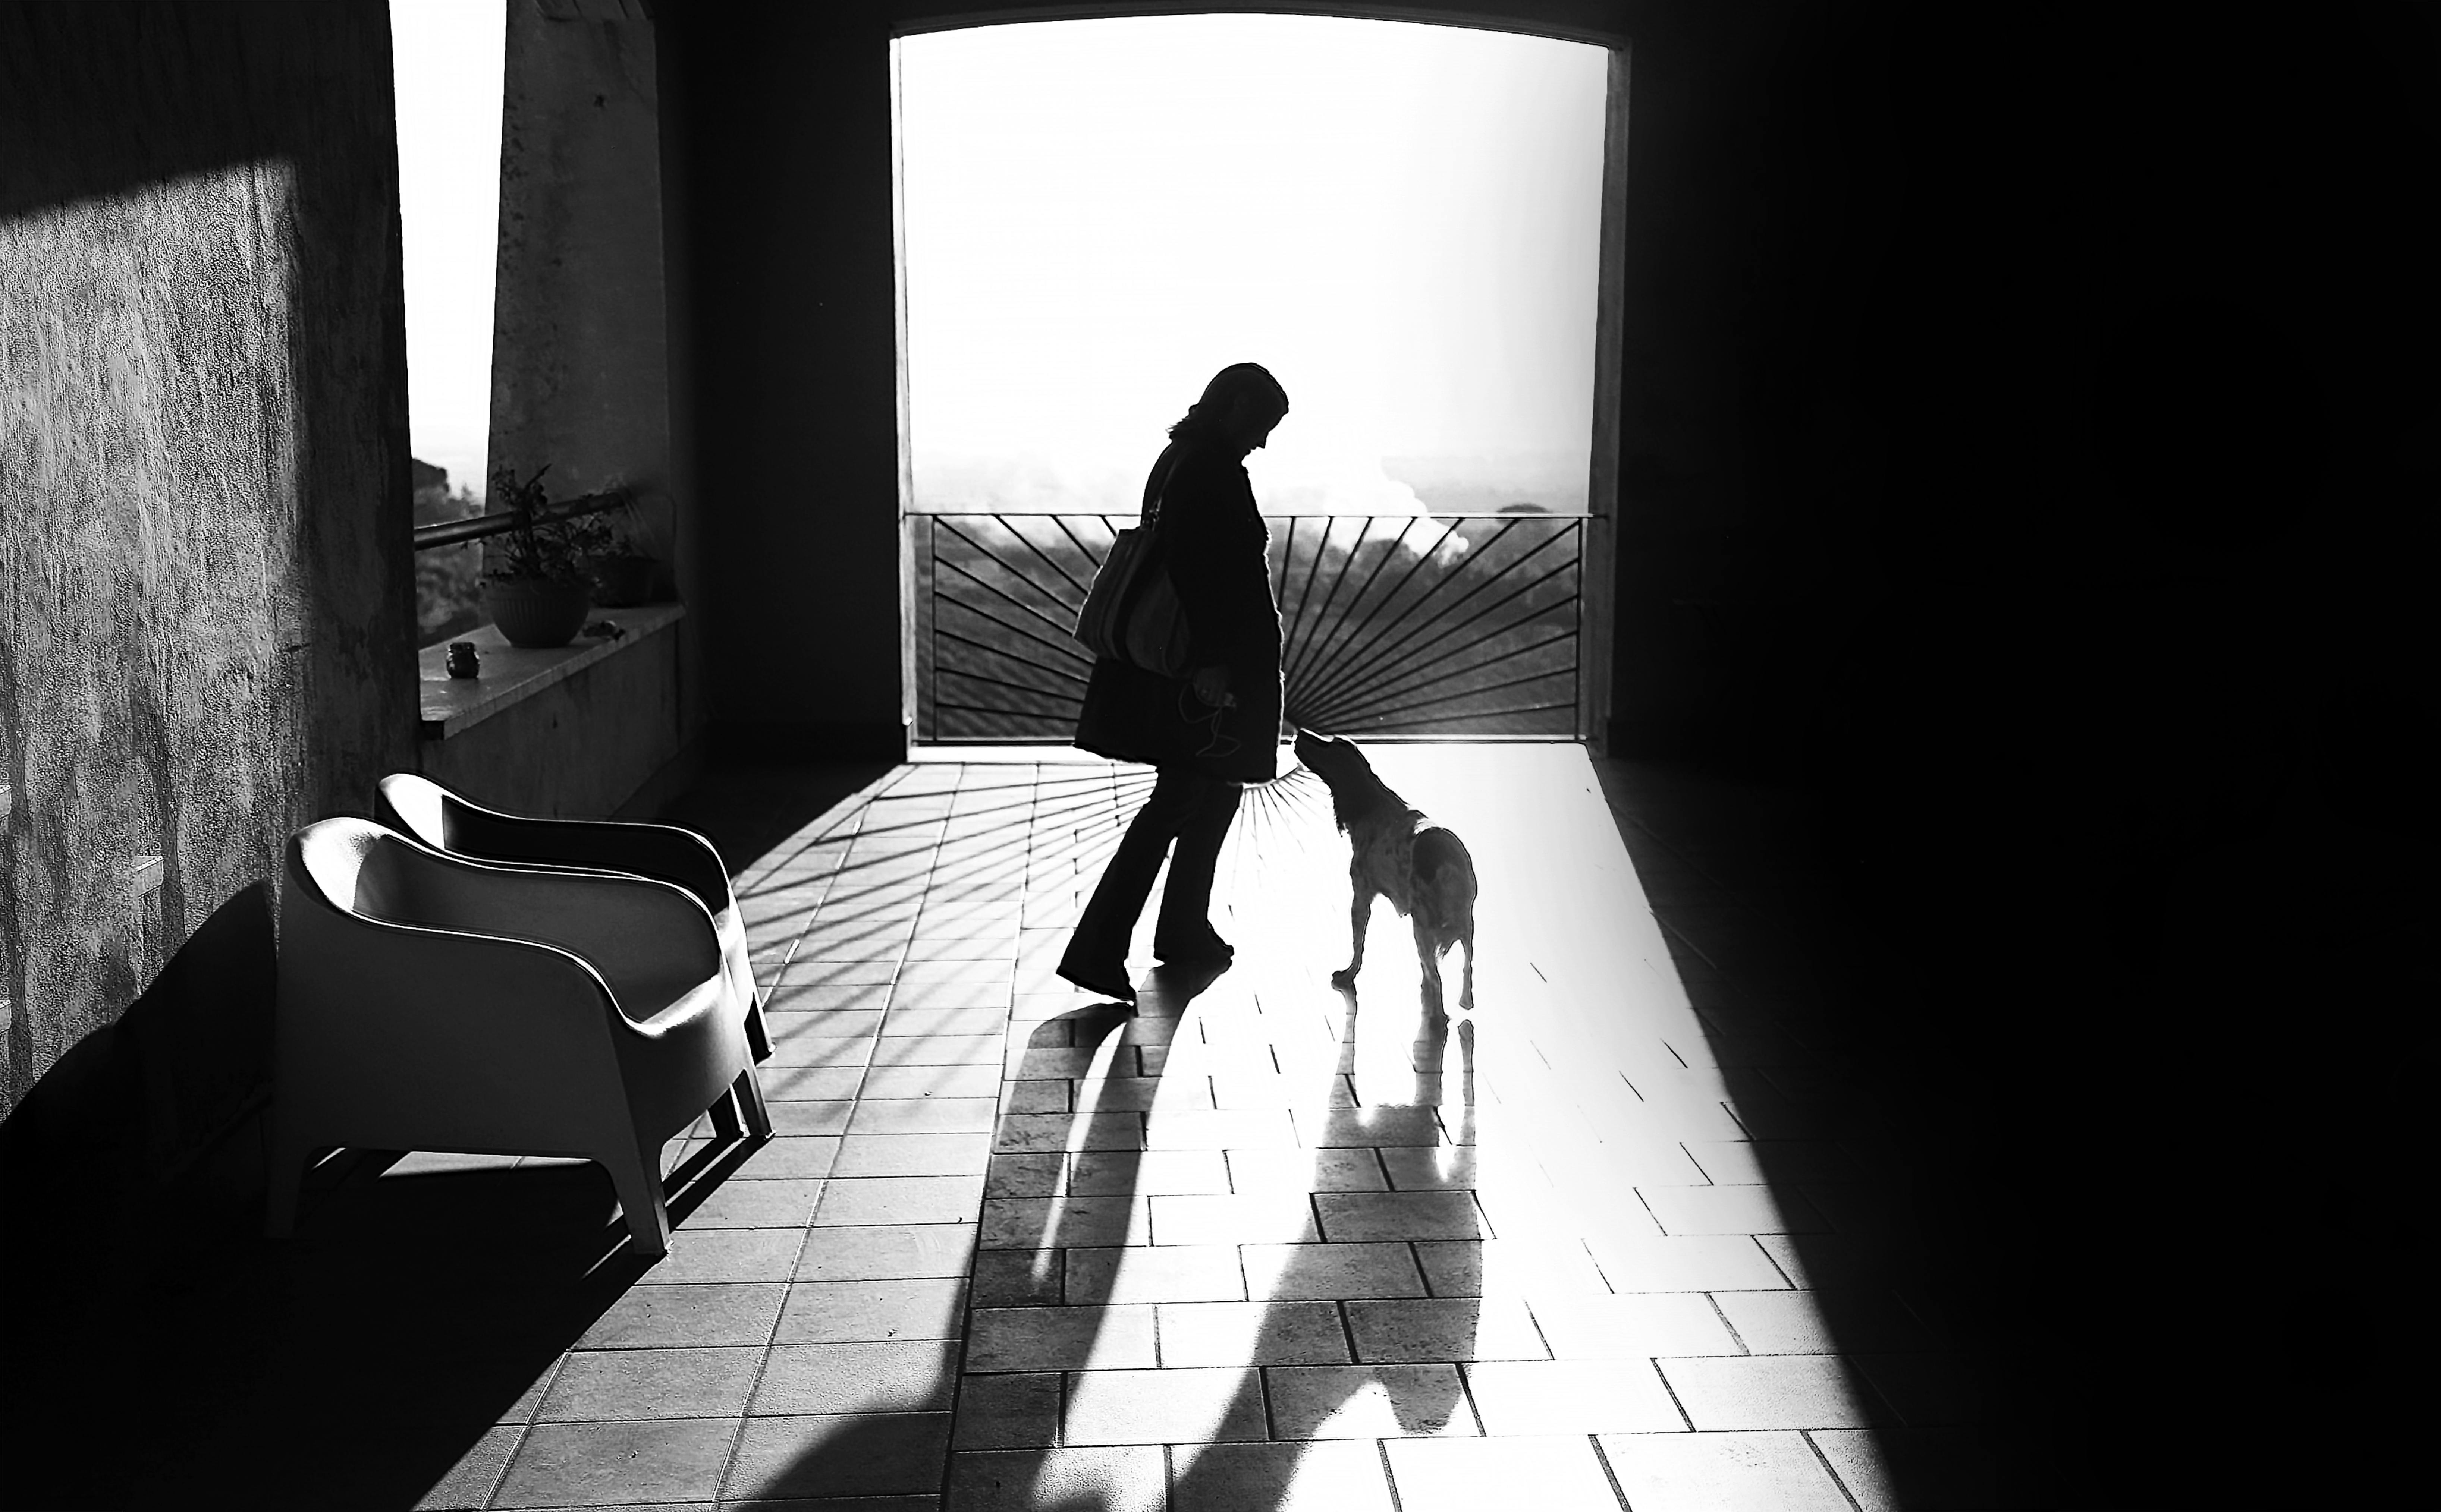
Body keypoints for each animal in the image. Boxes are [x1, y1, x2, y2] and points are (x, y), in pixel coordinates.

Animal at [1289, 731, 1474, 1014]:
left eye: (1331, 747)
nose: (1300, 733)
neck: (1370, 803)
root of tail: (1448, 865)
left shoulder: (1361, 895)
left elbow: (1358, 946)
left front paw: (1348, 975)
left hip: (1422, 927)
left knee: (1436, 981)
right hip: (1466, 926)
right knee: (1466, 967)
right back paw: (1464, 1000)